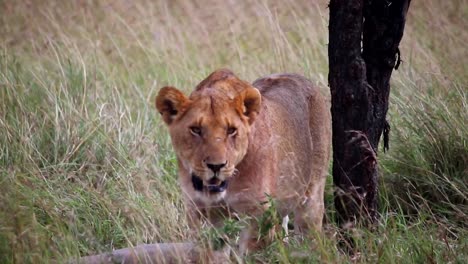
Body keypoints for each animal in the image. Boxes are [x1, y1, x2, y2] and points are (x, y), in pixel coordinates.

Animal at [155, 68, 330, 254]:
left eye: (231, 130)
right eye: (196, 129)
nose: (216, 166)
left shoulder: (258, 215)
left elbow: (251, 254)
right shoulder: (199, 213)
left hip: (312, 199)